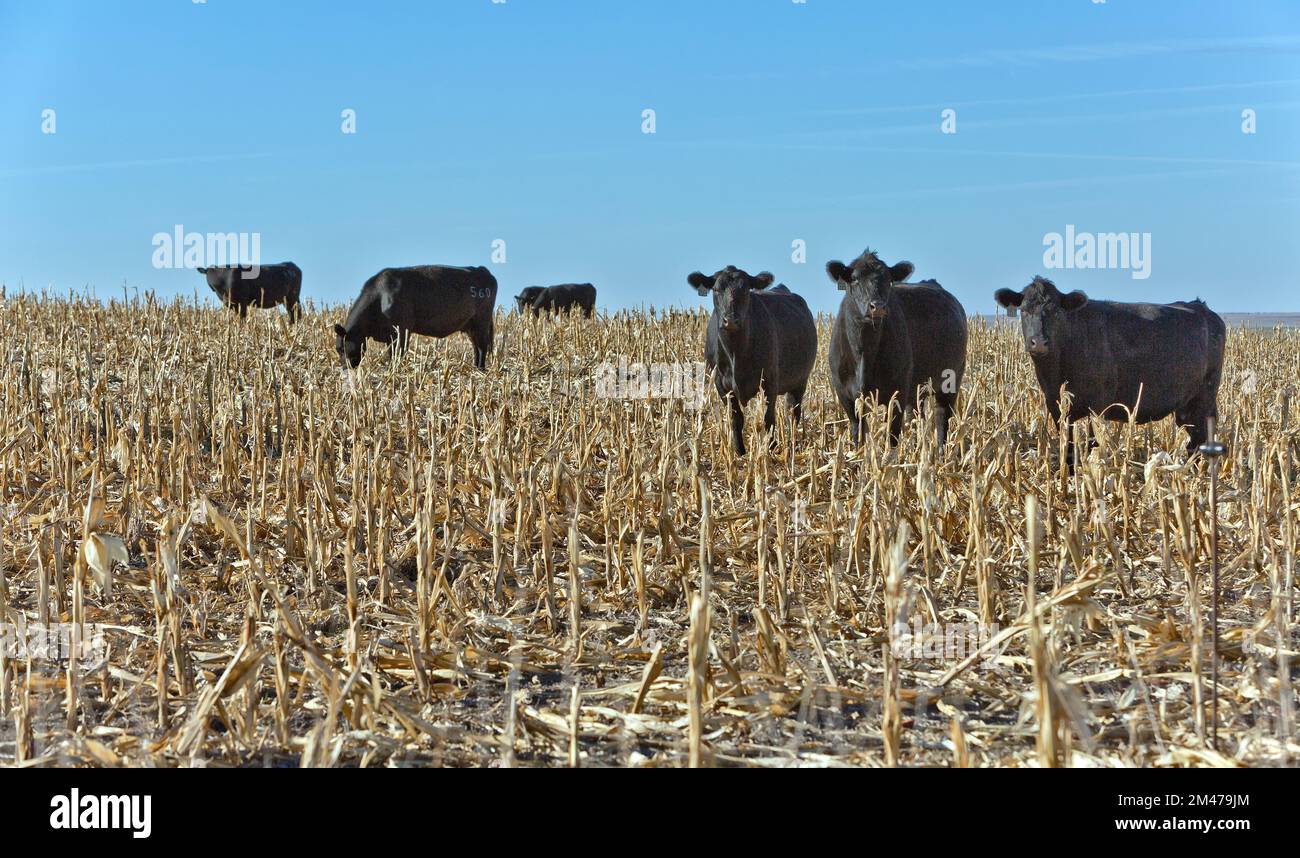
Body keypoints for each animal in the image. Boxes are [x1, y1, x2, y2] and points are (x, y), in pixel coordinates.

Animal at [335, 266, 496, 369]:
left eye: (341, 348)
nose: (344, 367)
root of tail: (482, 269)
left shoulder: (402, 330)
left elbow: (397, 353)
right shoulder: (389, 335)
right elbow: (392, 354)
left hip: (482, 321)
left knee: (482, 346)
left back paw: (480, 370)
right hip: (470, 326)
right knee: (476, 346)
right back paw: (475, 367)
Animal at [686, 266, 816, 454]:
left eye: (746, 289)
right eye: (716, 289)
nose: (731, 320)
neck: (736, 353)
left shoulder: (769, 381)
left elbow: (768, 419)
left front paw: (770, 449)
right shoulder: (721, 384)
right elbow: (735, 418)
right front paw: (739, 451)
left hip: (800, 381)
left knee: (792, 413)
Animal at [821, 248, 967, 444]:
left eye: (888, 279)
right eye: (855, 278)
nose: (877, 306)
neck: (864, 352)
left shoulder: (897, 391)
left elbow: (892, 435)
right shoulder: (845, 394)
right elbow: (857, 433)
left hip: (951, 382)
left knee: (941, 418)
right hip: (917, 389)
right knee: (916, 415)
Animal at [993, 276, 1227, 454]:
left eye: (1057, 312)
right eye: (1024, 310)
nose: (1039, 342)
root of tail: (1201, 307)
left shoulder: (1097, 407)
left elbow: (1091, 445)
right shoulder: (1056, 405)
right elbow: (1068, 445)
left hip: (1204, 397)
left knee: (1200, 439)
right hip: (1186, 406)